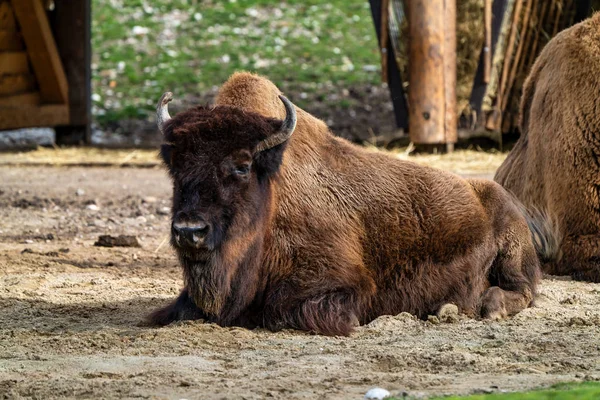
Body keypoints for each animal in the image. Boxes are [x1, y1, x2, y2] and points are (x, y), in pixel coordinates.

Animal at [150, 72, 544, 338]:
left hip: (513, 252)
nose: (189, 231)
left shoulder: (342, 284)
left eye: (242, 166)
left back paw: (482, 308)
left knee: (522, 290)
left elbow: (281, 310)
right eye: (175, 165)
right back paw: (444, 308)